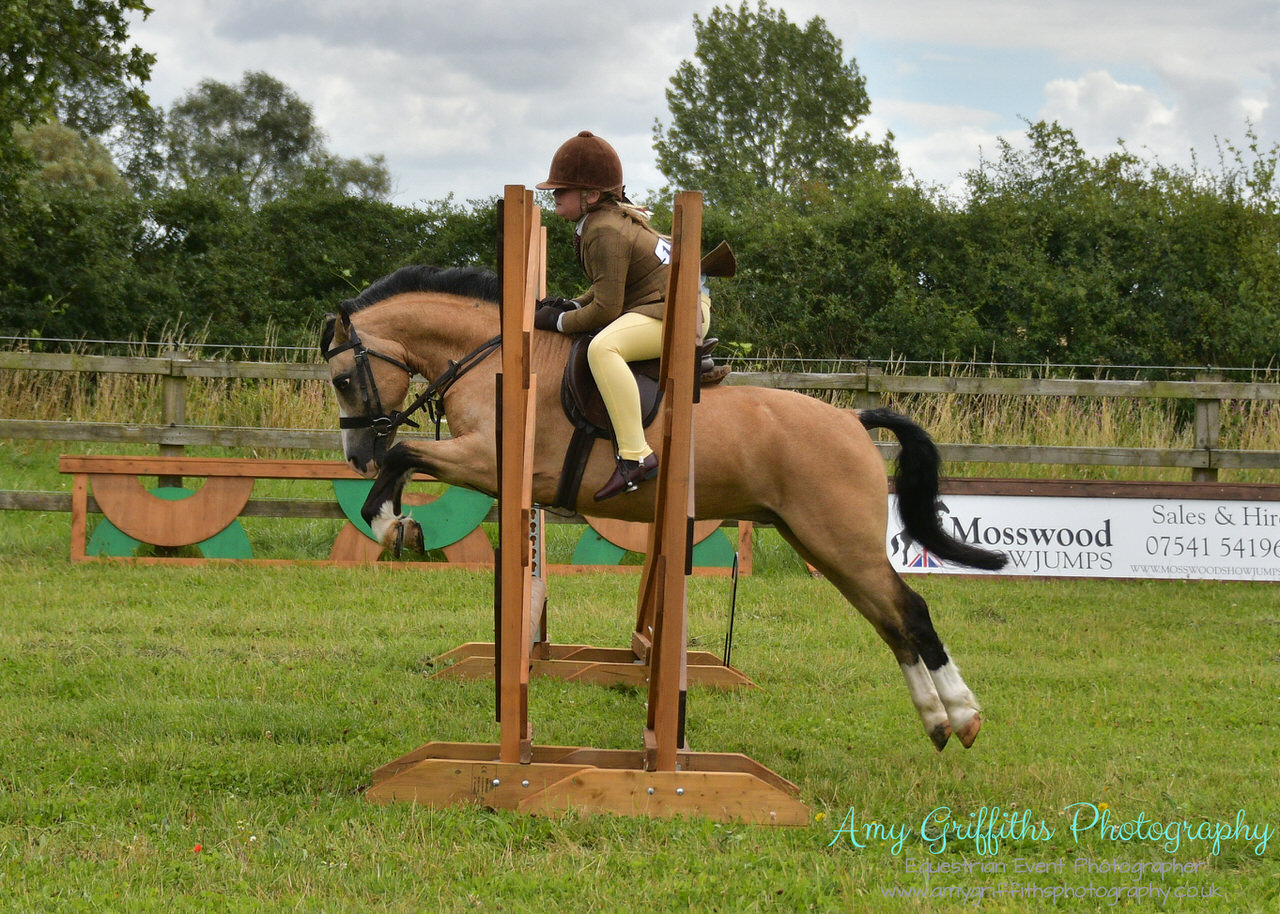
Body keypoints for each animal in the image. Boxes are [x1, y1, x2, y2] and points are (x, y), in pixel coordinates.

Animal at [322, 263, 1008, 747]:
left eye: (342, 379)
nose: (354, 453)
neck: (495, 355)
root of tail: (851, 418)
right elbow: (406, 457)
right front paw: (400, 523)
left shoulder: (489, 461)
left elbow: (405, 453)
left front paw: (394, 525)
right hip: (820, 542)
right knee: (889, 621)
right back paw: (938, 722)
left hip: (839, 540)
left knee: (909, 611)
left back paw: (965, 715)